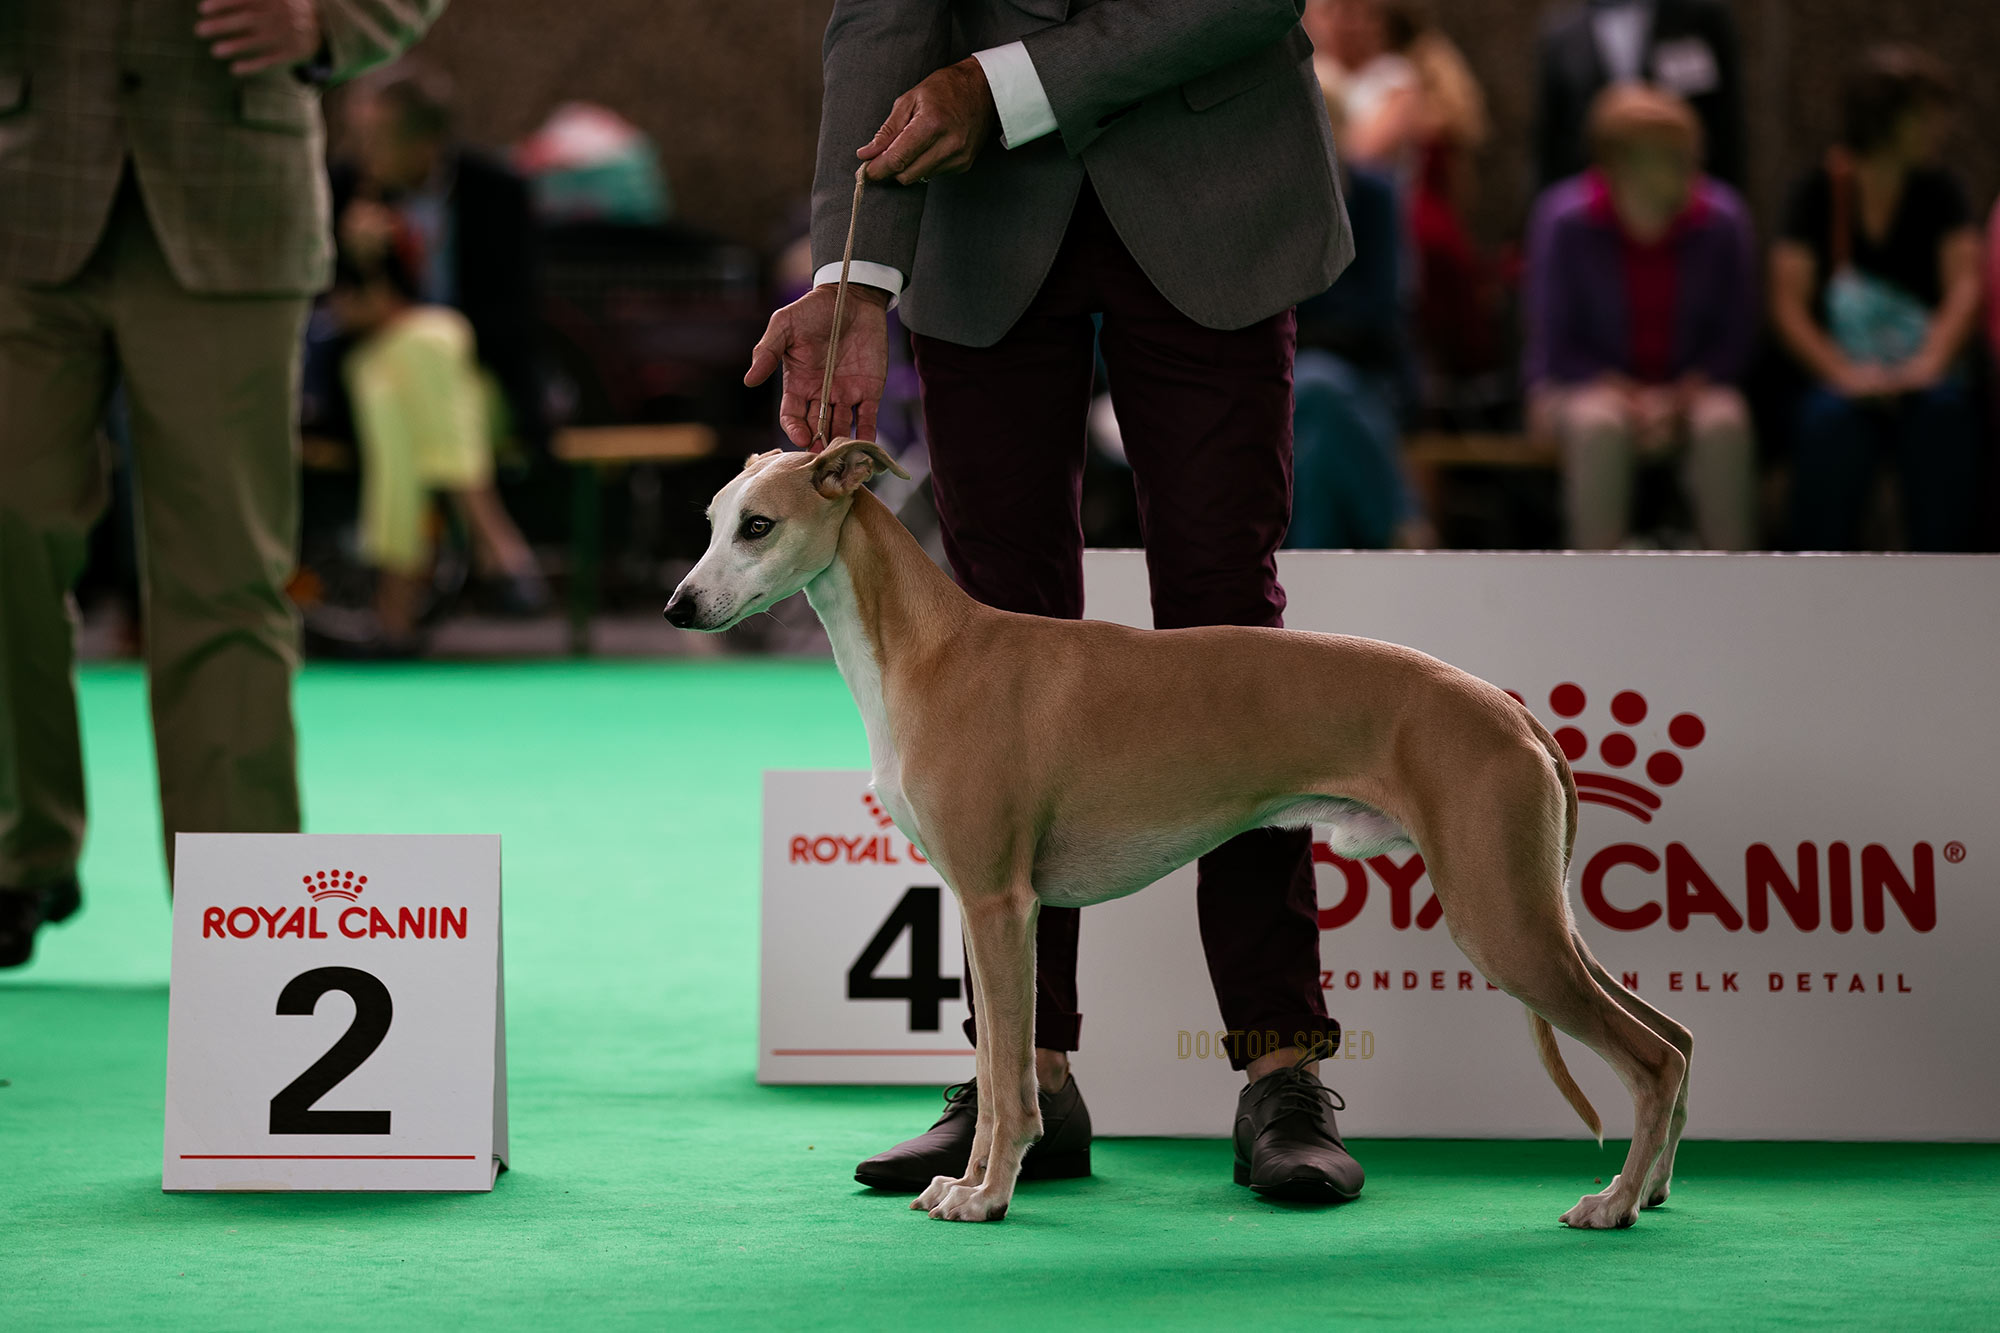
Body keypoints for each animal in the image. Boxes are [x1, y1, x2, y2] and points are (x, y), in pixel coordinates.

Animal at [668, 440, 1688, 1216]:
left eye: (759, 526)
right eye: (711, 519)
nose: (679, 607)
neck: (935, 648)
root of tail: (1513, 714)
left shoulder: (1001, 904)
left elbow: (1009, 1082)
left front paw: (984, 1195)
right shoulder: (977, 903)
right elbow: (997, 1070)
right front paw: (966, 1180)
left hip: (1499, 917)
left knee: (1646, 1057)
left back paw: (1611, 1203)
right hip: (1533, 911)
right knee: (1673, 1037)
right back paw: (1649, 1190)